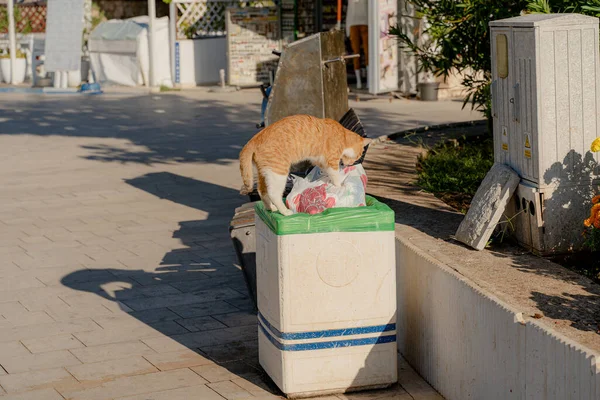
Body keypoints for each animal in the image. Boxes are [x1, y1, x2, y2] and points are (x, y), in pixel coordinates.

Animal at [239, 114, 370, 216]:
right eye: (359, 155)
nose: (352, 163)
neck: (342, 136)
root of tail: (255, 139)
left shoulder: (320, 161)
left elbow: (325, 171)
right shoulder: (331, 161)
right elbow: (336, 177)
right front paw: (339, 185)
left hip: (264, 173)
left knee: (262, 191)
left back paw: (270, 208)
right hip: (278, 172)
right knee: (274, 193)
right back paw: (285, 211)